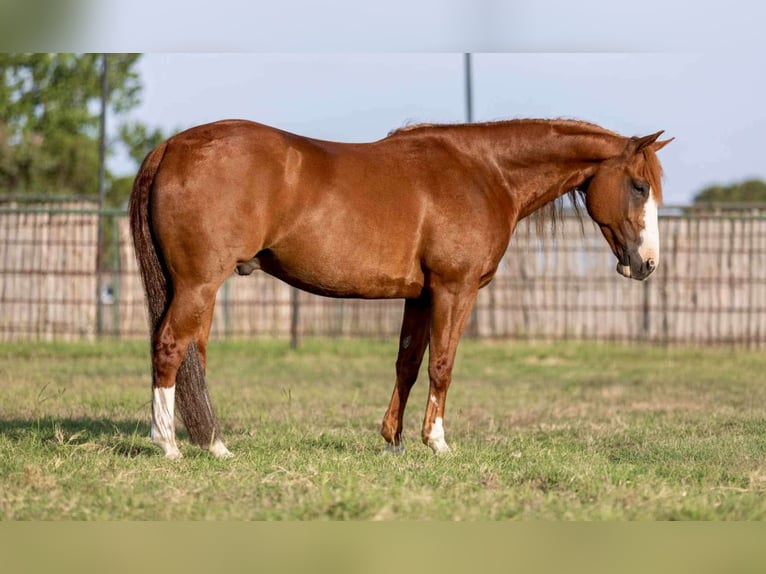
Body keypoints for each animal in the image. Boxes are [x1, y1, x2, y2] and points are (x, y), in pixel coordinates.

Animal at [129, 118, 672, 459]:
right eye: (639, 186)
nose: (646, 263)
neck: (485, 172)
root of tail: (170, 147)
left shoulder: (421, 296)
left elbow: (408, 363)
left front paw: (394, 439)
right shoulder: (455, 290)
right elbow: (442, 365)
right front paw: (438, 442)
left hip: (198, 288)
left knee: (193, 354)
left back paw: (214, 444)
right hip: (199, 284)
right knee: (171, 347)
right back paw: (169, 445)